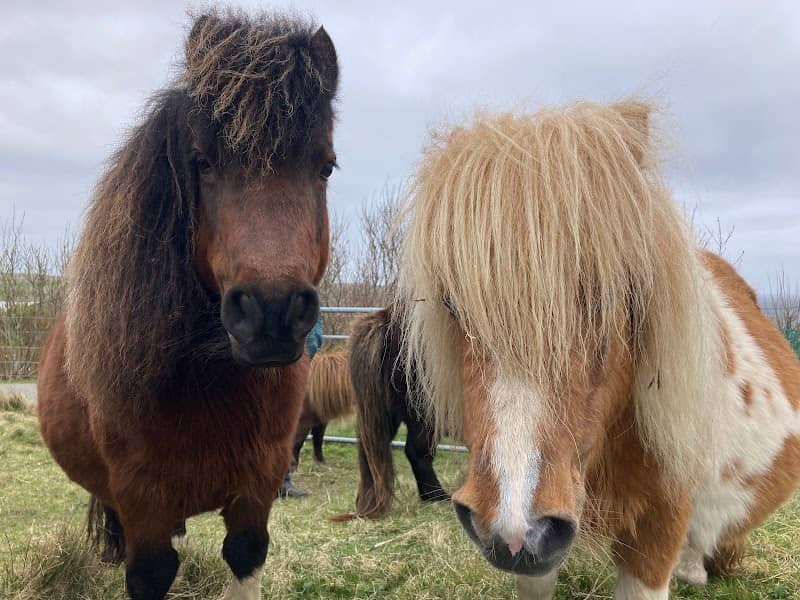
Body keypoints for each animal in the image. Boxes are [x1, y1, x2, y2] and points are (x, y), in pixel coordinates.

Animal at [36, 10, 338, 600]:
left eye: (326, 167)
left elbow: (245, 556)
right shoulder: (142, 507)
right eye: (202, 162)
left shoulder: (256, 493)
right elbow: (151, 569)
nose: (271, 314)